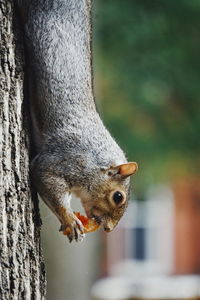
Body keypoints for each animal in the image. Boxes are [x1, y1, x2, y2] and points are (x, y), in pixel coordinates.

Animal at [16, 0, 138, 243]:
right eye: (118, 197)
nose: (108, 228)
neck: (95, 160)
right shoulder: (66, 160)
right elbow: (45, 177)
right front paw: (70, 220)